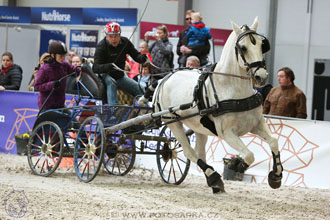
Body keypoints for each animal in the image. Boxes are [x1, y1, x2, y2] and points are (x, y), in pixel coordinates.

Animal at [152, 17, 284, 192]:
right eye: (243, 48)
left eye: (262, 45)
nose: (261, 76)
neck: (231, 88)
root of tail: (165, 79)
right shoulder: (227, 133)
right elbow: (249, 155)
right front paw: (236, 165)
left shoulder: (256, 124)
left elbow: (274, 141)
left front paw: (276, 176)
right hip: (173, 123)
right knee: (189, 152)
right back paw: (214, 177)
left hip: (199, 127)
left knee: (199, 153)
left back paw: (213, 181)